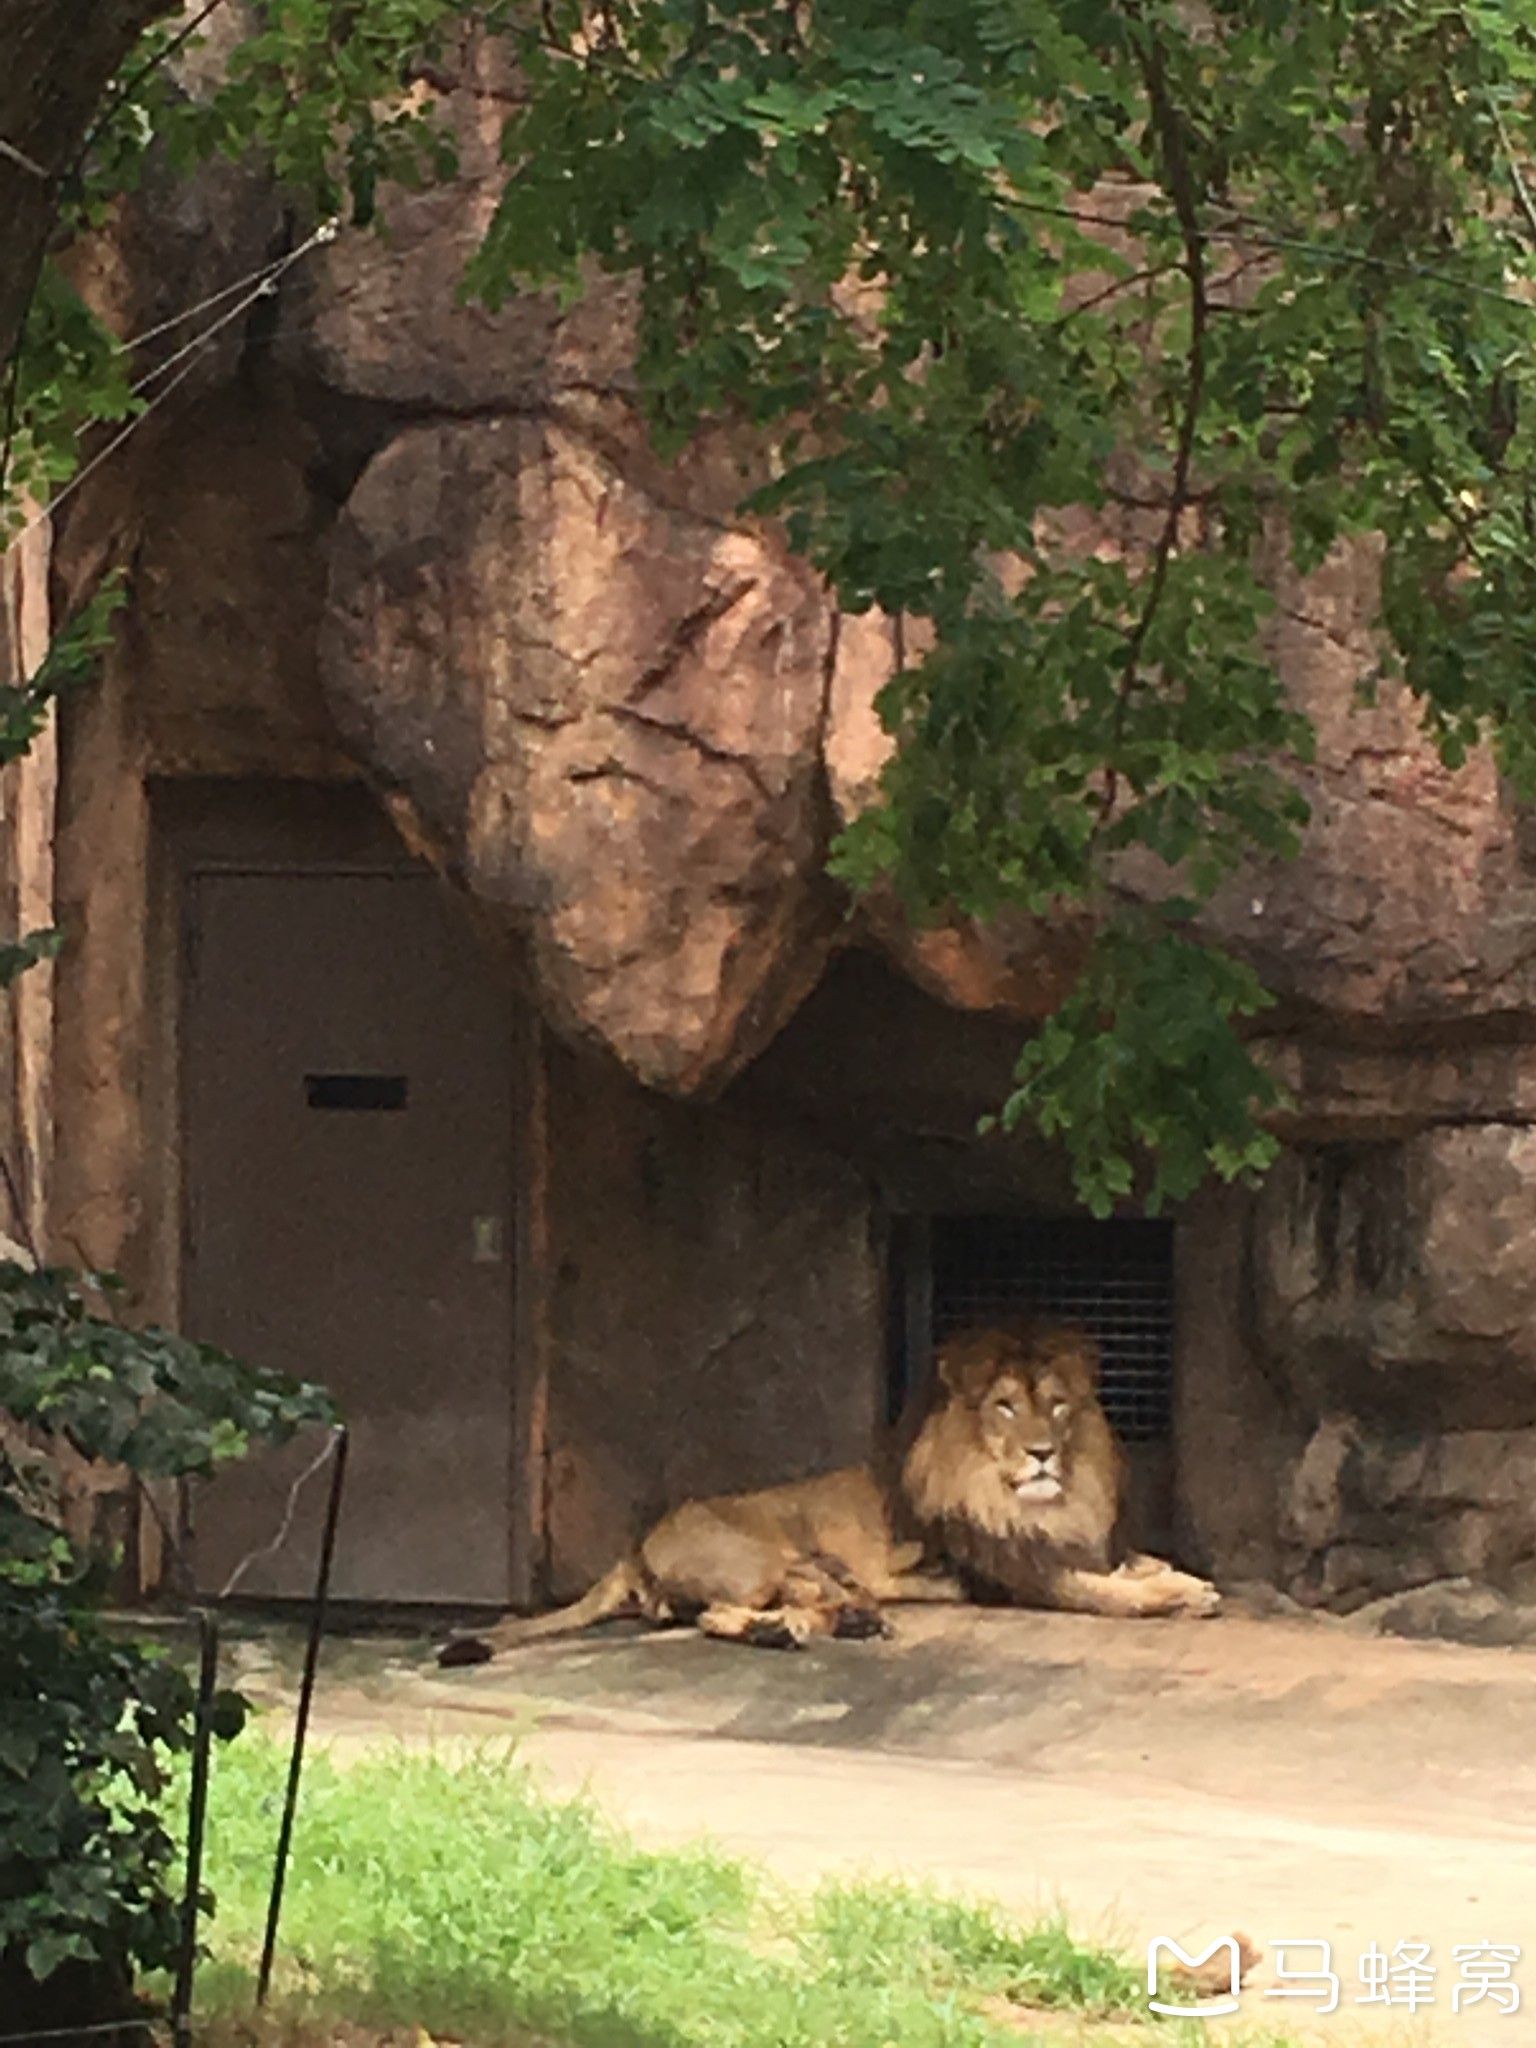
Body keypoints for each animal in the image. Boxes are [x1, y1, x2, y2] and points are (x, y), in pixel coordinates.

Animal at [438, 1327, 1220, 1662]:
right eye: (1003, 1407)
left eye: (1056, 1405)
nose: (1043, 1452)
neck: (1043, 1502)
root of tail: (638, 1545)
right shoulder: (1025, 1578)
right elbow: (1116, 1596)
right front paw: (1184, 1596)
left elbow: (1135, 1565)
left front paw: (1180, 1578)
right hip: (764, 1561)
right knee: (714, 1616)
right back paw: (784, 1633)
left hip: (815, 1571)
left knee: (810, 1606)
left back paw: (850, 1625)